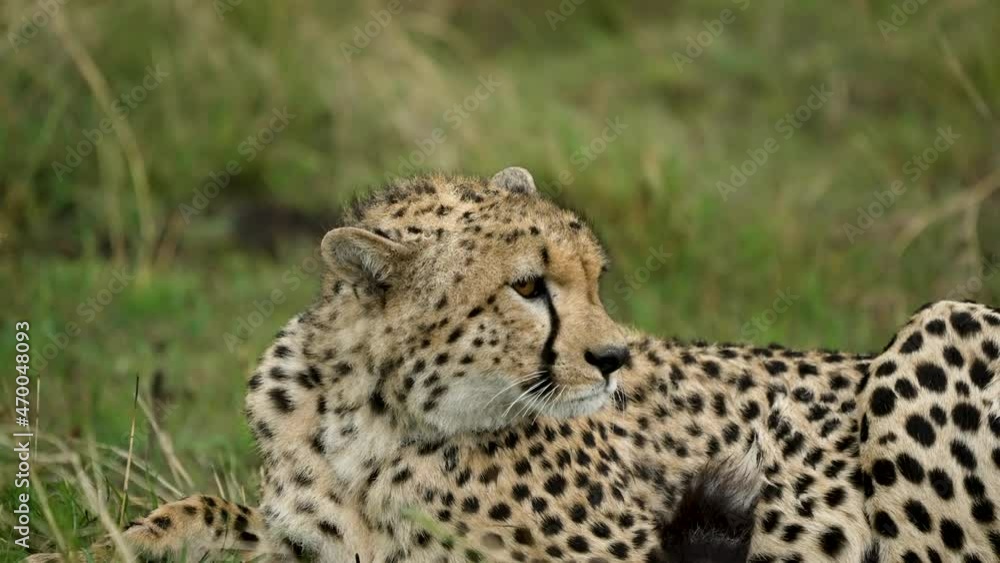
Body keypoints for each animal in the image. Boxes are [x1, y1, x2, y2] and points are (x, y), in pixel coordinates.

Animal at [119, 169, 1000, 563]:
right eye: (528, 287)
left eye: (595, 278)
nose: (613, 357)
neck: (370, 418)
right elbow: (210, 511)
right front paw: (142, 535)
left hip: (940, 324)